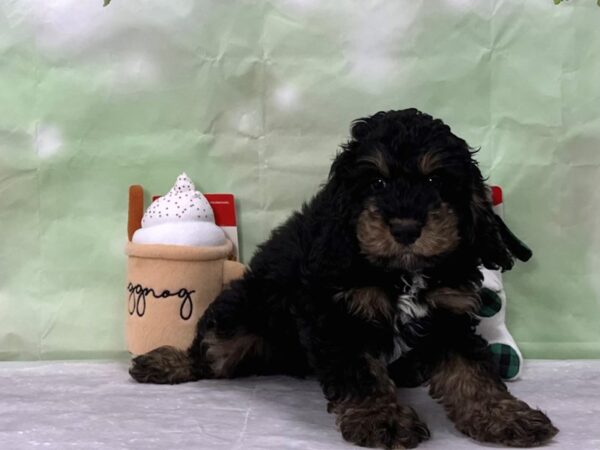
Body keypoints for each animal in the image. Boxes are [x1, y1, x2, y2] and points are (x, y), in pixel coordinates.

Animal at [130, 110, 556, 450]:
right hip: (240, 317)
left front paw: (504, 416)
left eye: (435, 181)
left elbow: (473, 372)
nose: (405, 228)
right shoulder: (338, 315)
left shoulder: (447, 314)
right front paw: (383, 419)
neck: (401, 270)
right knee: (210, 351)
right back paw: (166, 363)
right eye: (377, 183)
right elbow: (362, 373)